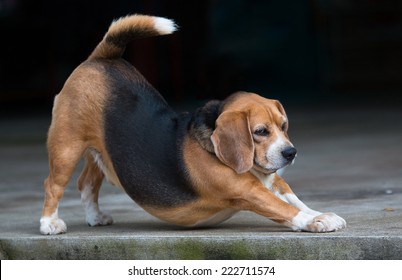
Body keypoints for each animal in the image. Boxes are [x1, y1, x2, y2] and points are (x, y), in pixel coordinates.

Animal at [40, 14, 346, 235]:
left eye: (284, 126)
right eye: (260, 132)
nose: (290, 153)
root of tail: (102, 58)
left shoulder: (273, 180)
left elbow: (294, 200)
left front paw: (320, 214)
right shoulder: (248, 191)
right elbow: (284, 209)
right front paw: (316, 221)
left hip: (101, 150)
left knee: (86, 183)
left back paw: (95, 217)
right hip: (66, 147)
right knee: (53, 184)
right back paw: (49, 224)